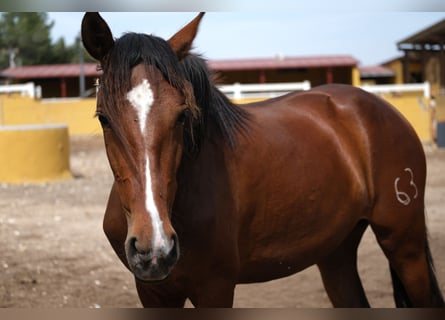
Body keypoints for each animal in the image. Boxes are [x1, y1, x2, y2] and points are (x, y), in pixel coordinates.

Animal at [80, 11, 444, 308]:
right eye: (104, 118)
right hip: (336, 252)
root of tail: (383, 109)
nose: (153, 248)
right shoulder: (153, 292)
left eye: (182, 116)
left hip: (405, 244)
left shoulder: (215, 288)